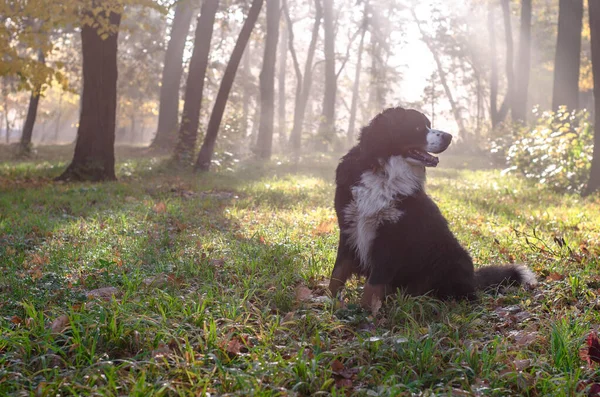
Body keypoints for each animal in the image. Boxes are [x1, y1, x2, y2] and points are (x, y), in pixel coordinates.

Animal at [330, 106, 536, 308]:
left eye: (428, 124)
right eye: (417, 127)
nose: (449, 136)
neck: (384, 172)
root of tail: (473, 278)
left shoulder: (391, 236)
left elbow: (373, 284)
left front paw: (365, 311)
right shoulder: (349, 226)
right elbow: (337, 273)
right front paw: (328, 301)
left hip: (452, 256)